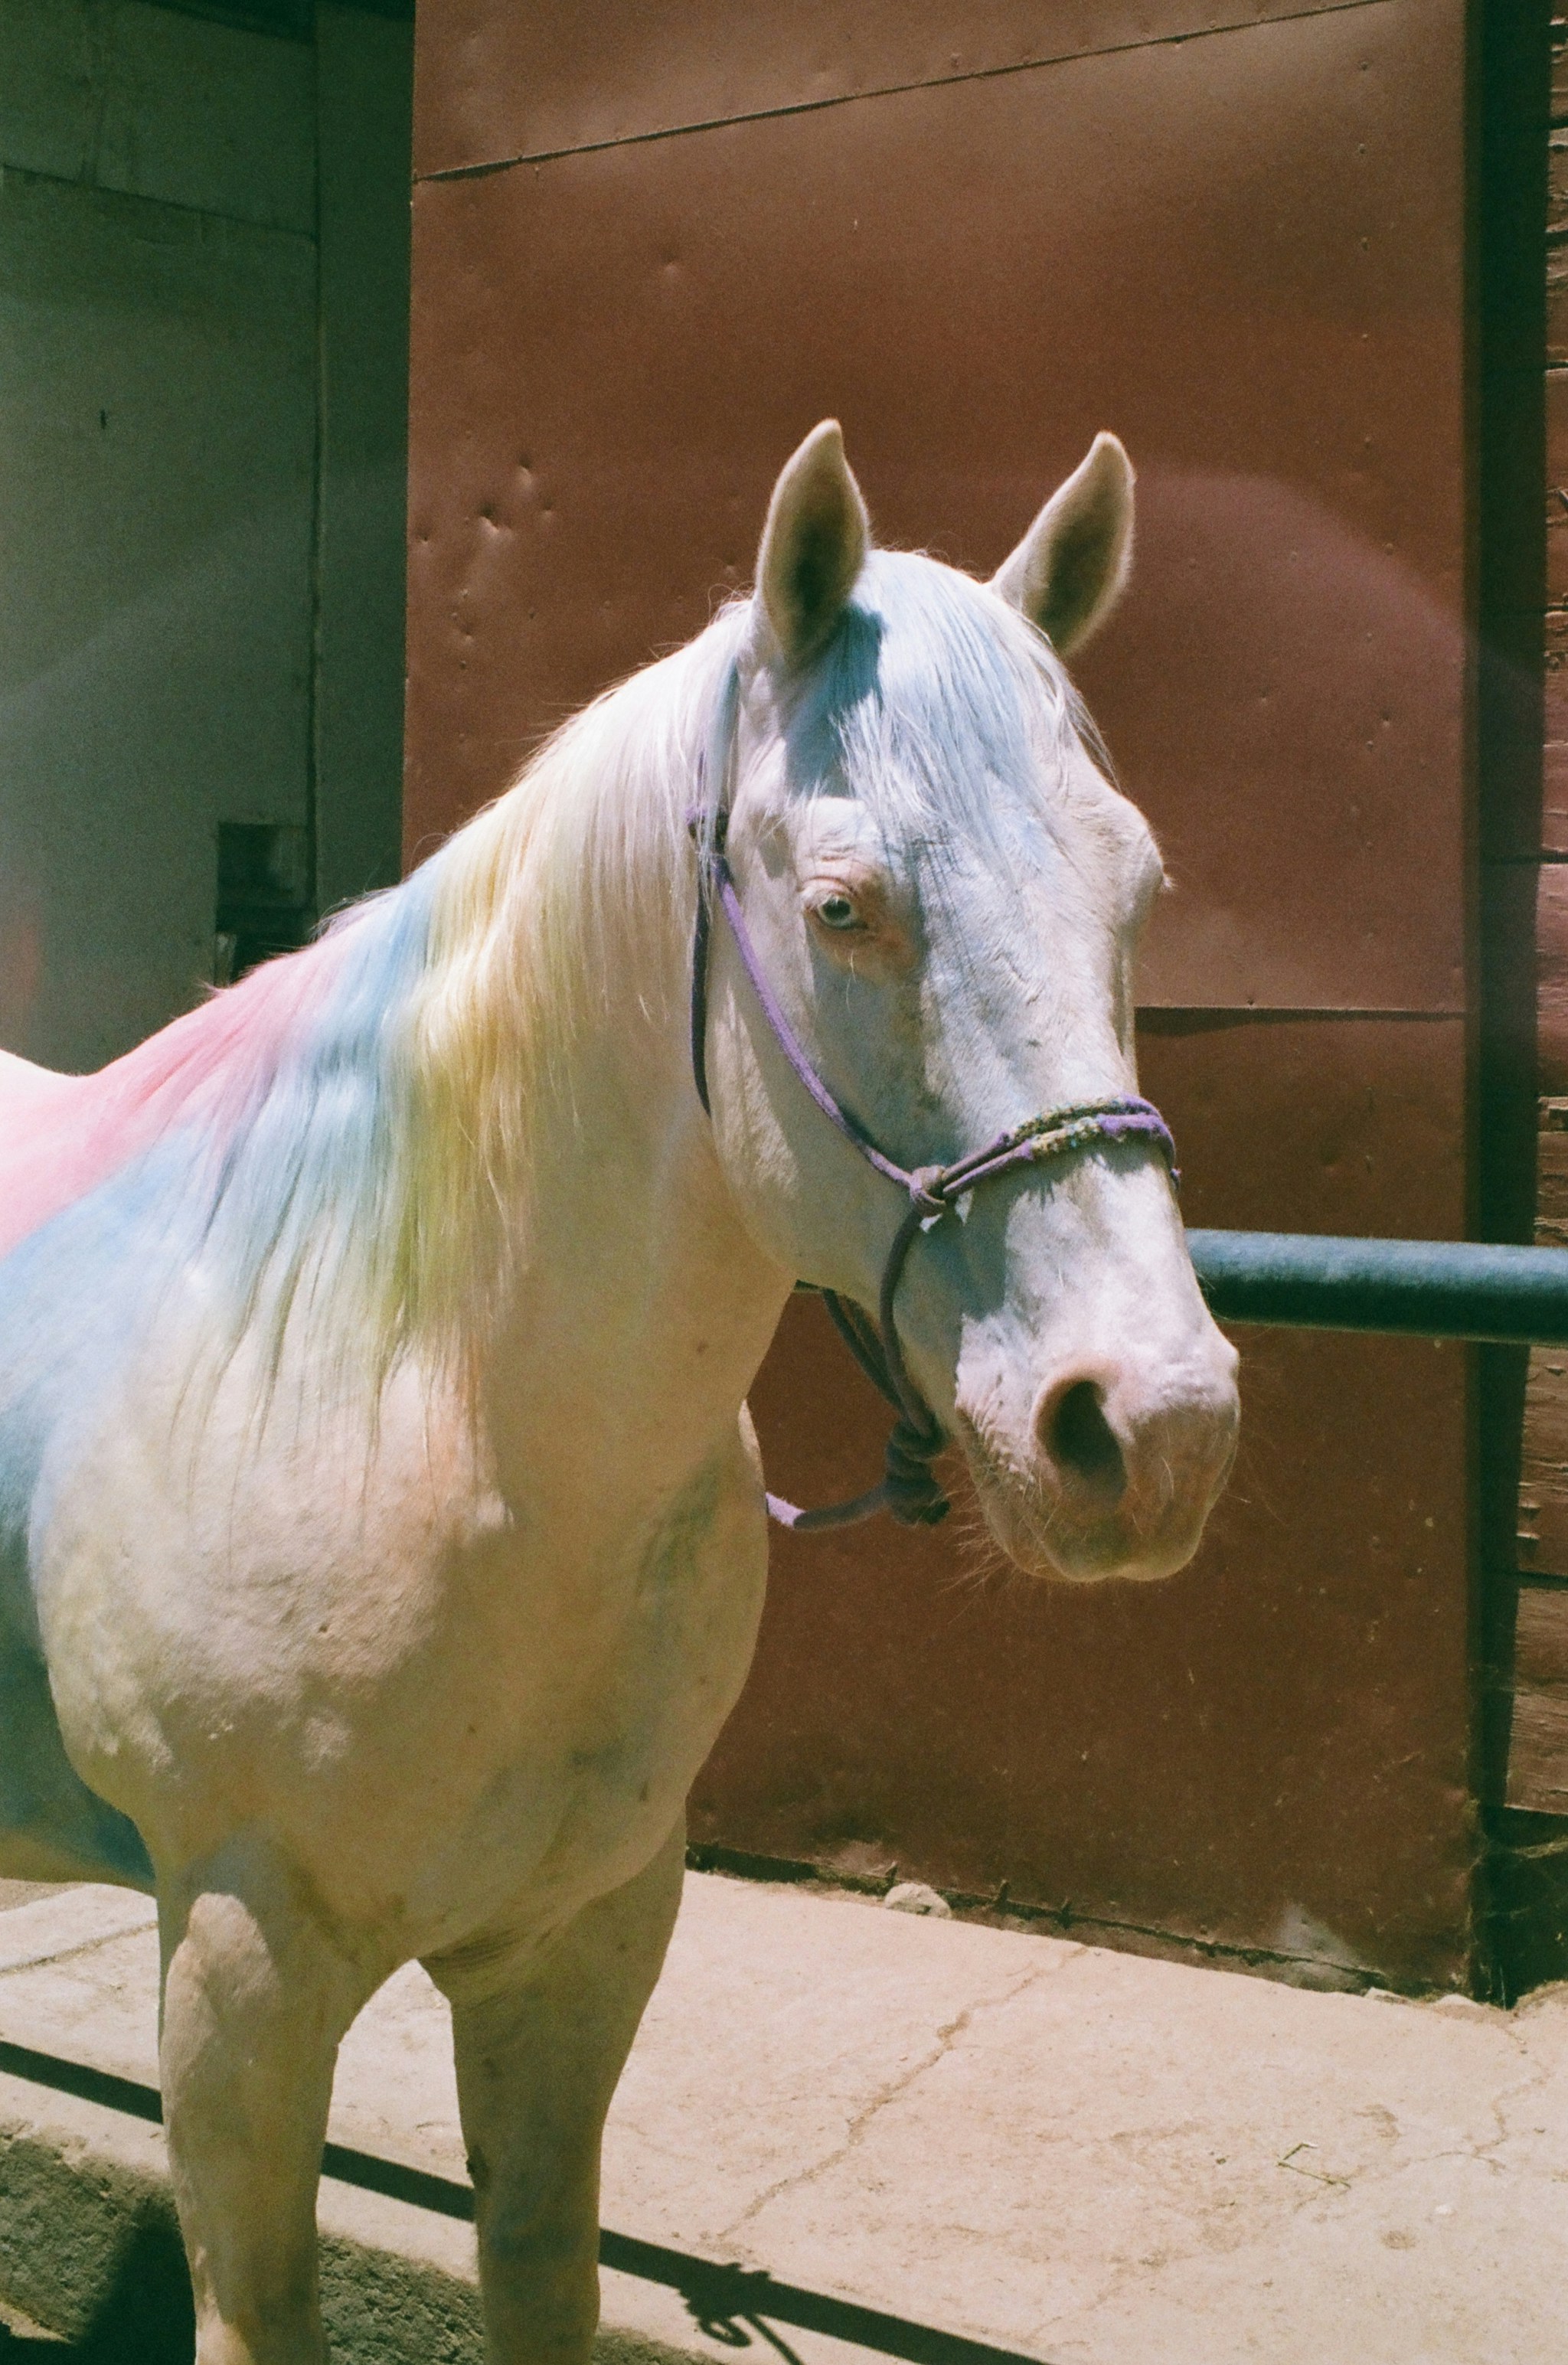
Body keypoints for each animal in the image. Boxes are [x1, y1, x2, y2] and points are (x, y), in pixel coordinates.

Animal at [0, 422, 1238, 2365]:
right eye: (840, 906)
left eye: (1138, 888)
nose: (1152, 1426)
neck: (439, 1417)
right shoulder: (237, 1968)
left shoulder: (581, 1945)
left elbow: (543, 2273)